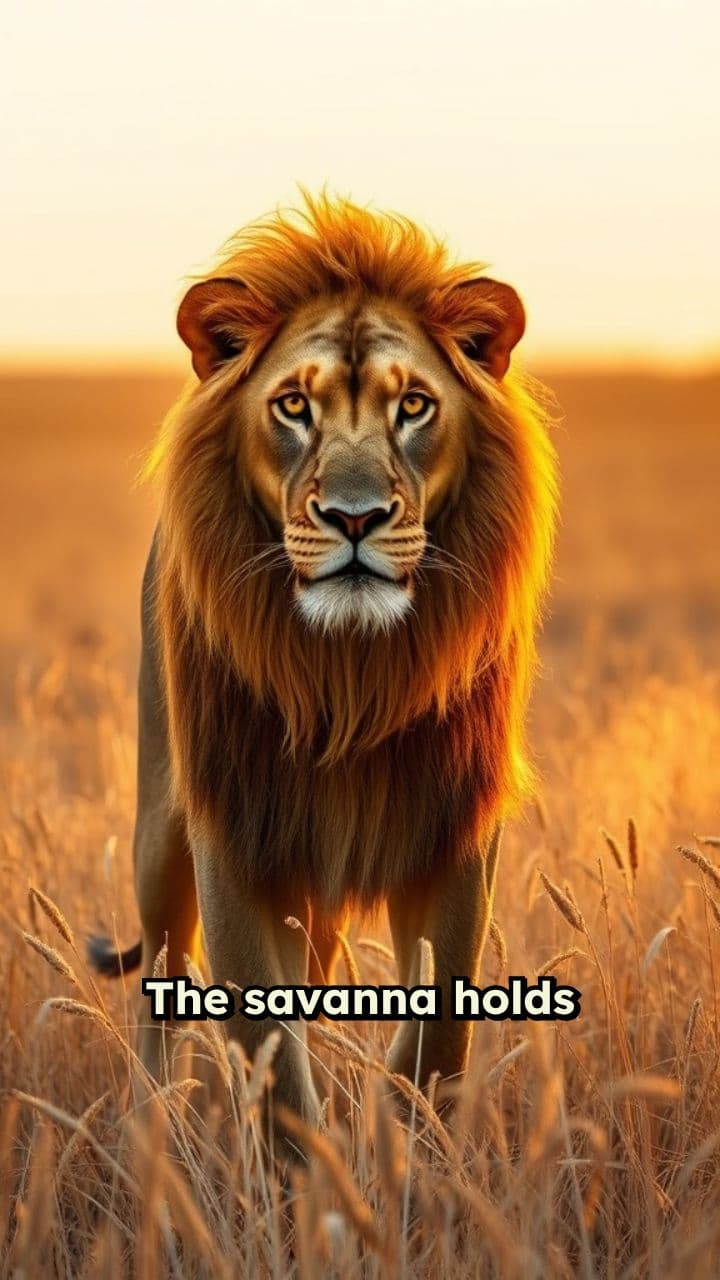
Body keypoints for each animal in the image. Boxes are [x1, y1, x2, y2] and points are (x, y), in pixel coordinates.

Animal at [90, 192, 557, 1136]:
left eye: (413, 405)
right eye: (293, 407)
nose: (354, 516)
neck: (350, 673)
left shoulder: (456, 836)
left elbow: (434, 1044)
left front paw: (406, 1161)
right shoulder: (234, 835)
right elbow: (275, 1069)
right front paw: (313, 1175)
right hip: (159, 832)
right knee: (161, 973)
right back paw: (153, 1128)